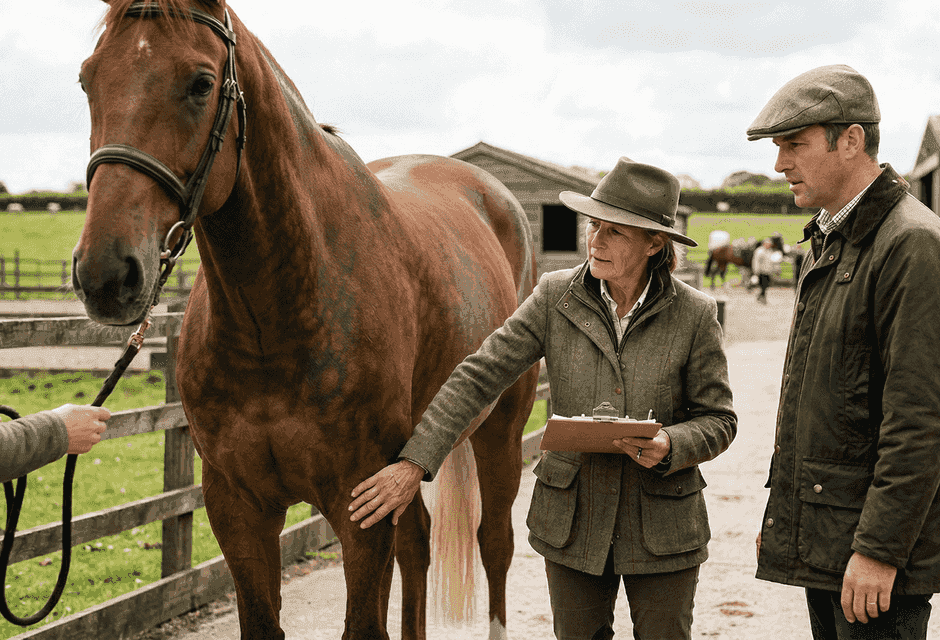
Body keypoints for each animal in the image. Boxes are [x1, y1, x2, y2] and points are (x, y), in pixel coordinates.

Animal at [71, 1, 539, 639]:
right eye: (88, 80)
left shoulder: (360, 509)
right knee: (418, 544)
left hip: (500, 432)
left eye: (201, 83)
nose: (105, 274)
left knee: (494, 543)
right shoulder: (238, 509)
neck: (273, 327)